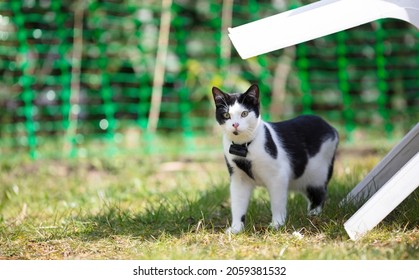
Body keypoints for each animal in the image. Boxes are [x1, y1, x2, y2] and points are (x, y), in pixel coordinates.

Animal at [212, 84, 340, 233]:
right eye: (226, 115)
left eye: (244, 113)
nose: (235, 125)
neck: (243, 146)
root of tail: (331, 128)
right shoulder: (238, 178)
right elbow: (238, 204)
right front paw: (236, 228)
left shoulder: (278, 176)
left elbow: (277, 202)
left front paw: (277, 224)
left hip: (317, 173)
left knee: (320, 193)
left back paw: (314, 214)